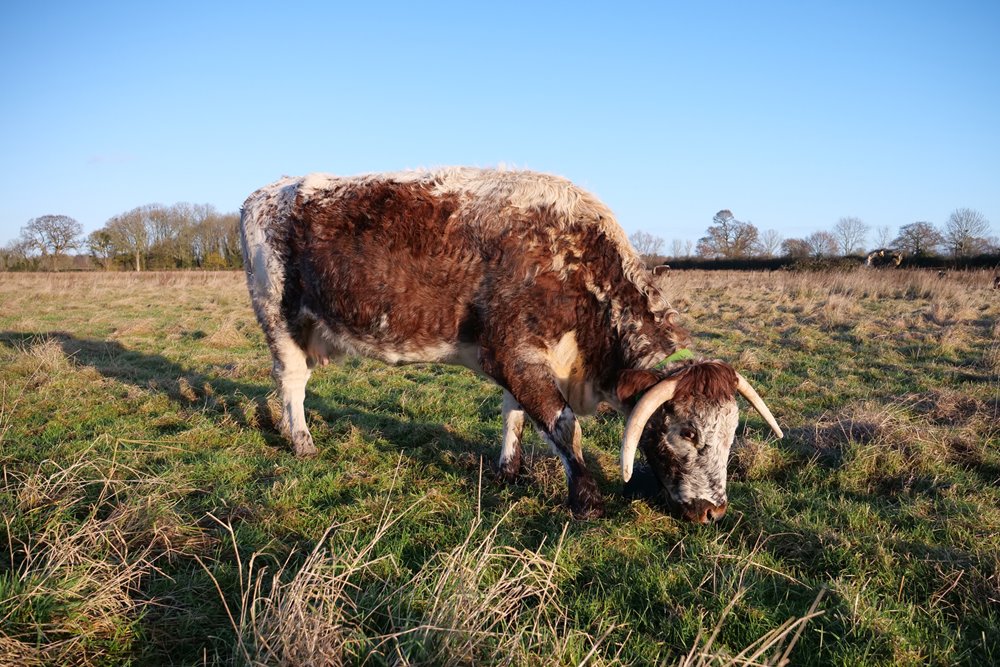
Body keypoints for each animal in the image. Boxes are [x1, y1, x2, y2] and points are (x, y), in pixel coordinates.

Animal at [240, 167, 780, 520]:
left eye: (732, 433)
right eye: (688, 432)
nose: (713, 512)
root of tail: (264, 194)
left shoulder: (518, 361)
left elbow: (514, 414)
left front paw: (509, 470)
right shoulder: (515, 355)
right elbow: (564, 426)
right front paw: (585, 499)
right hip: (279, 318)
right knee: (291, 382)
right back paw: (302, 442)